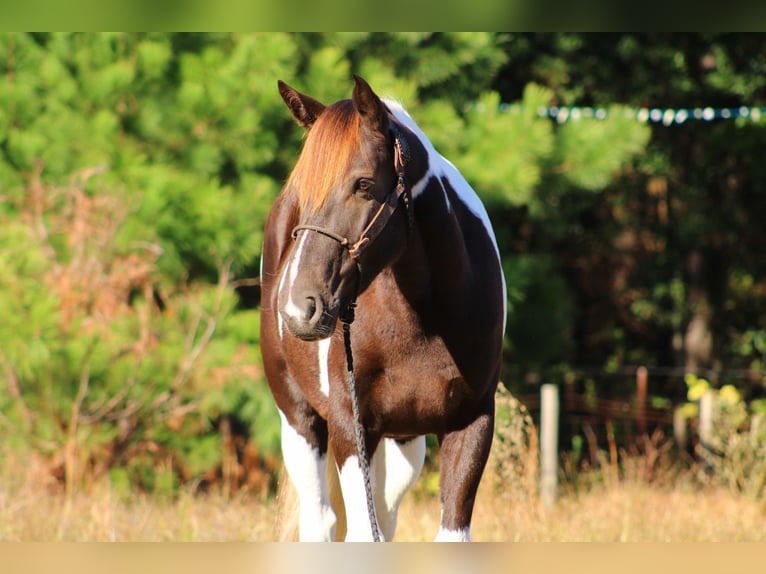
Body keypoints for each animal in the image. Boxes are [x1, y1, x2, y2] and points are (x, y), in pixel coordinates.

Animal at [259, 75, 506, 541]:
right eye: (302, 192)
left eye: (363, 184)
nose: (298, 308)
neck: (424, 317)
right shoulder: (351, 427)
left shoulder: (473, 424)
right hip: (299, 419)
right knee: (321, 520)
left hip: (404, 442)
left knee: (386, 517)